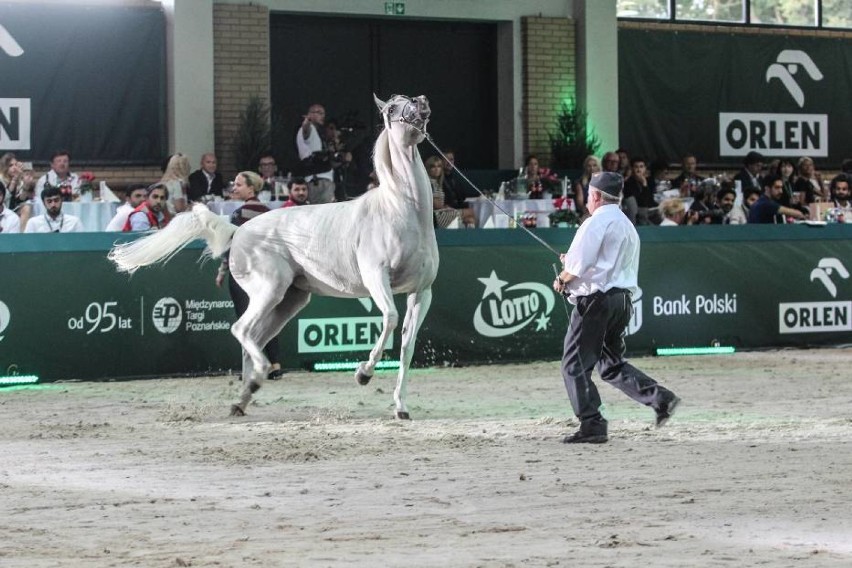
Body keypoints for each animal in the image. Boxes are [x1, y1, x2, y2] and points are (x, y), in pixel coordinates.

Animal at [111, 95, 440, 420]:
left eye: (409, 98)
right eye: (393, 107)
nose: (422, 102)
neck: (400, 210)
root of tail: (237, 232)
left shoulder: (421, 292)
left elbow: (407, 346)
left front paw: (401, 407)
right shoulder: (375, 278)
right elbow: (390, 319)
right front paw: (363, 373)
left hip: (289, 300)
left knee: (254, 338)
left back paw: (242, 399)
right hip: (269, 290)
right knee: (241, 330)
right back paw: (257, 378)